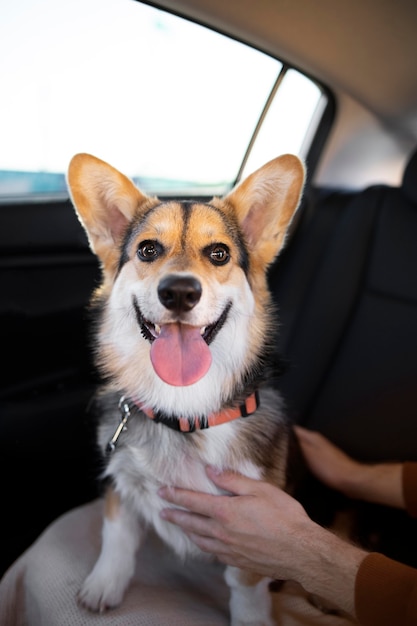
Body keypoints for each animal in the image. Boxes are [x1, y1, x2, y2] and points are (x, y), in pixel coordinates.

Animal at [66, 152, 304, 624]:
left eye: (219, 254)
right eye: (148, 250)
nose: (179, 292)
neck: (181, 410)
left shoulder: (252, 524)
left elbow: (246, 586)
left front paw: (251, 619)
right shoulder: (120, 480)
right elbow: (117, 536)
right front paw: (104, 586)